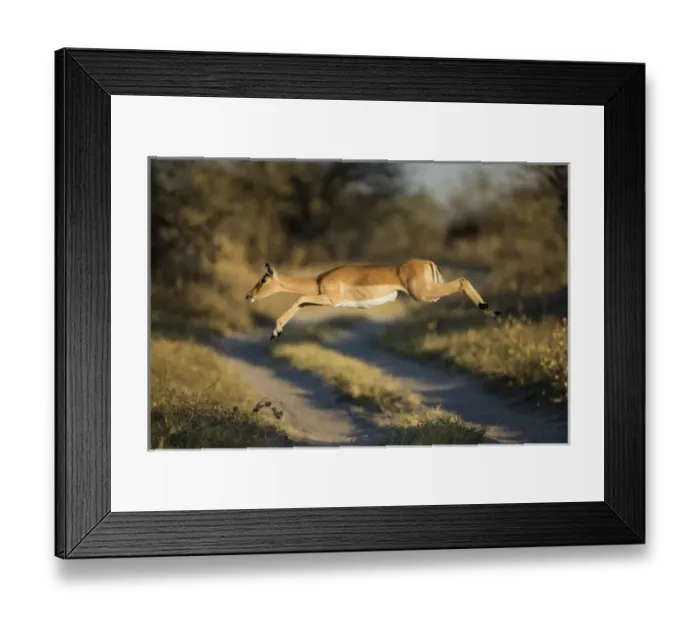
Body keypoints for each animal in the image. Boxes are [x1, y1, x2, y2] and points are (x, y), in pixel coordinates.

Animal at [245, 259, 501, 340]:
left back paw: (489, 310)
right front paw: (276, 332)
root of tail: (428, 262)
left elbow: (299, 297)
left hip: (424, 295)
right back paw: (493, 311)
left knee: (462, 280)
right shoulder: (322, 298)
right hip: (430, 293)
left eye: (264, 280)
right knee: (462, 280)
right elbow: (300, 302)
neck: (320, 278)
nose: (248, 295)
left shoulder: (331, 299)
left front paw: (275, 331)